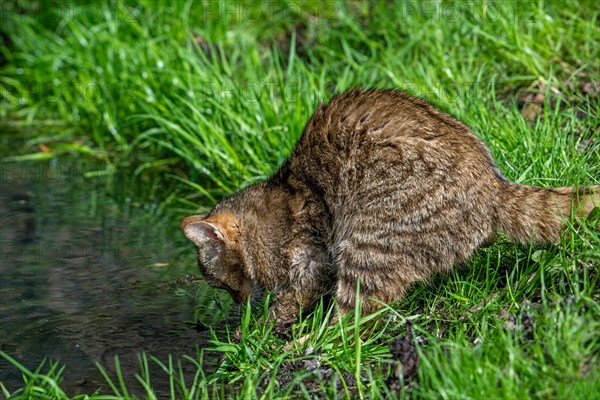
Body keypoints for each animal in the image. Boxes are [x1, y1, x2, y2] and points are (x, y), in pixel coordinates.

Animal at [179, 88, 600, 324]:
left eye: (218, 282)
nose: (237, 300)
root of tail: (492, 187)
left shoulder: (309, 254)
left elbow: (299, 291)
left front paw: (263, 326)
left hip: (373, 231)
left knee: (357, 315)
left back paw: (315, 339)